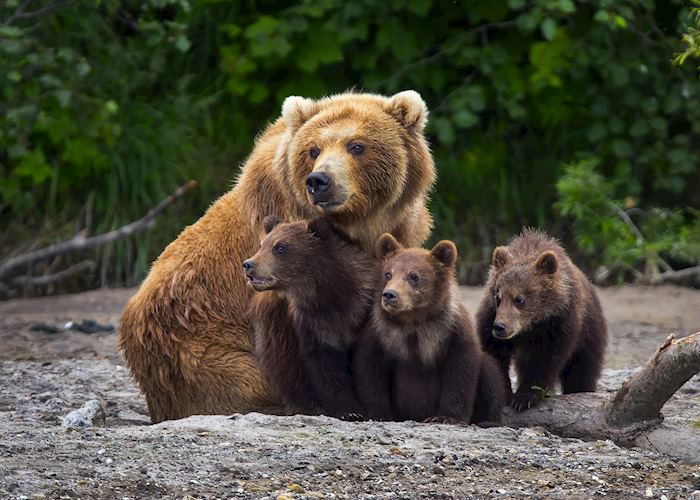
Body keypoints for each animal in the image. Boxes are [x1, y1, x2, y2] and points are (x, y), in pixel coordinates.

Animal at [244, 216, 380, 420]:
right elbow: (325, 368)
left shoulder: (361, 310)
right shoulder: (312, 324)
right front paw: (349, 410)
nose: (248, 264)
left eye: (280, 247)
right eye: (262, 244)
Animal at [353, 233, 506, 424]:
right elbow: (370, 370)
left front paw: (446, 416)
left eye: (414, 276)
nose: (389, 294)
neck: (414, 320)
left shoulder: (452, 331)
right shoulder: (381, 333)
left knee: (490, 372)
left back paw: (488, 420)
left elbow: (461, 372)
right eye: (388, 273)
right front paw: (379, 413)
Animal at [475, 228, 608, 411]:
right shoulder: (490, 315)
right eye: (498, 297)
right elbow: (495, 352)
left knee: (583, 368)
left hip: (589, 332)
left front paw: (524, 397)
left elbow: (547, 358)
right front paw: (505, 393)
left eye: (519, 299)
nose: (500, 327)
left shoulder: (560, 321)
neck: (532, 324)